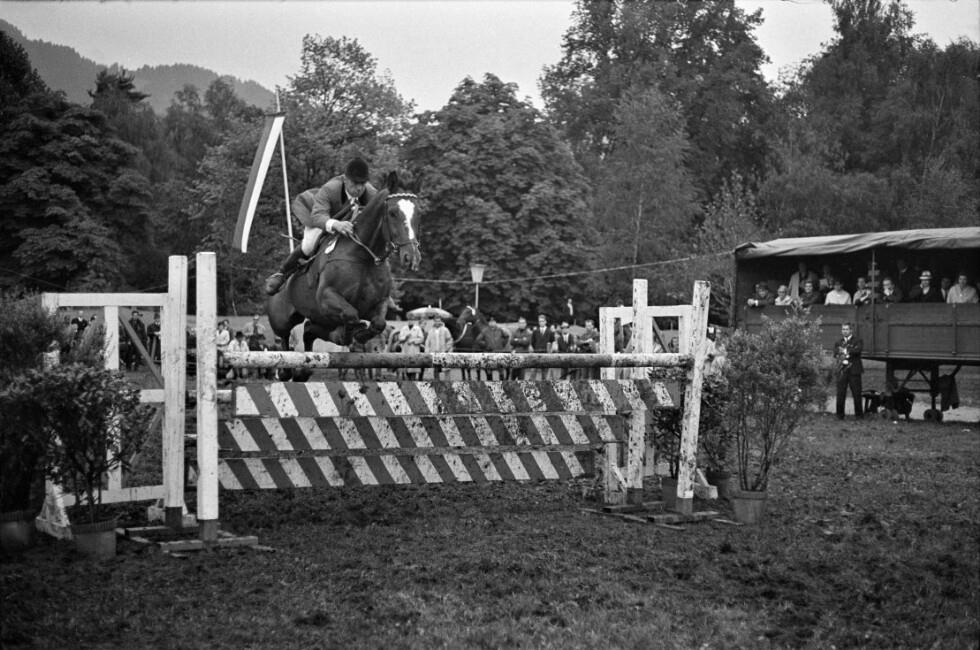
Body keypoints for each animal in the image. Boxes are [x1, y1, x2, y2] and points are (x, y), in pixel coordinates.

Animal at [267, 171, 421, 352]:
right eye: (392, 213)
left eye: (417, 214)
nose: (412, 257)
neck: (363, 258)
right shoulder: (326, 297)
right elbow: (351, 314)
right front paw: (352, 333)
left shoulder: (378, 303)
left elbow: (379, 323)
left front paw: (358, 335)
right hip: (282, 322)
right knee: (285, 340)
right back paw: (275, 282)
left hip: (317, 319)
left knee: (309, 331)